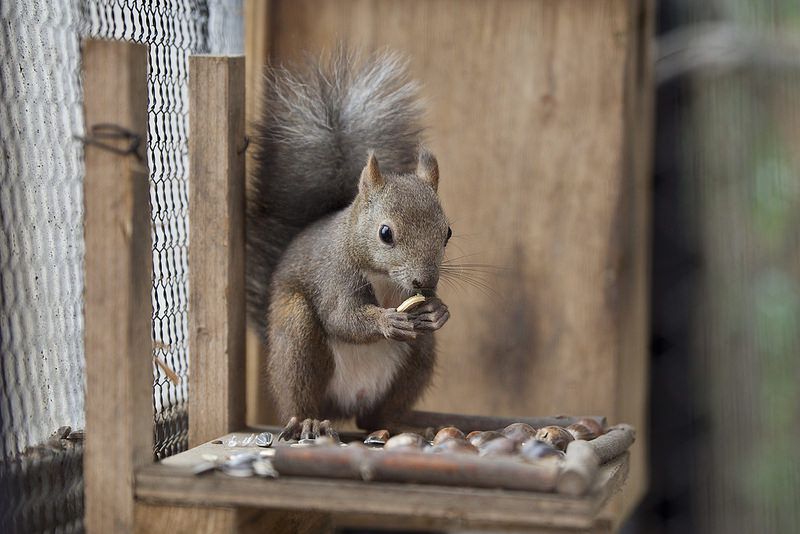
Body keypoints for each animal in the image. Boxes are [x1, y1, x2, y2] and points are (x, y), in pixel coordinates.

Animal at [245, 49, 450, 440]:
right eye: (385, 233)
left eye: (448, 232)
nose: (425, 281)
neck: (383, 277)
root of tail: (347, 402)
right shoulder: (334, 277)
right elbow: (341, 317)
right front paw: (385, 320)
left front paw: (438, 310)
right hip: (296, 336)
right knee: (299, 398)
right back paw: (308, 421)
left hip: (418, 358)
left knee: (374, 418)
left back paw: (400, 425)